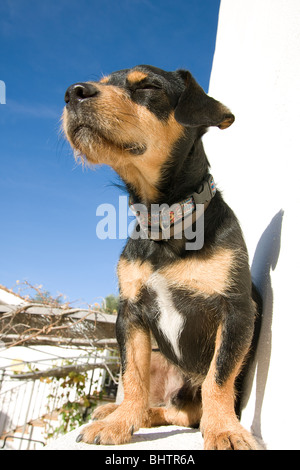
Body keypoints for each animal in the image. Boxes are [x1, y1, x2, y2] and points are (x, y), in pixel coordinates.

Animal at [63, 64, 260, 450]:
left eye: (149, 86)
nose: (72, 92)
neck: (164, 222)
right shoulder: (130, 314)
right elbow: (133, 377)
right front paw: (120, 424)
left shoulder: (237, 312)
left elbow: (219, 378)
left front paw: (225, 430)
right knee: (163, 406)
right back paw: (115, 412)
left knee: (187, 410)